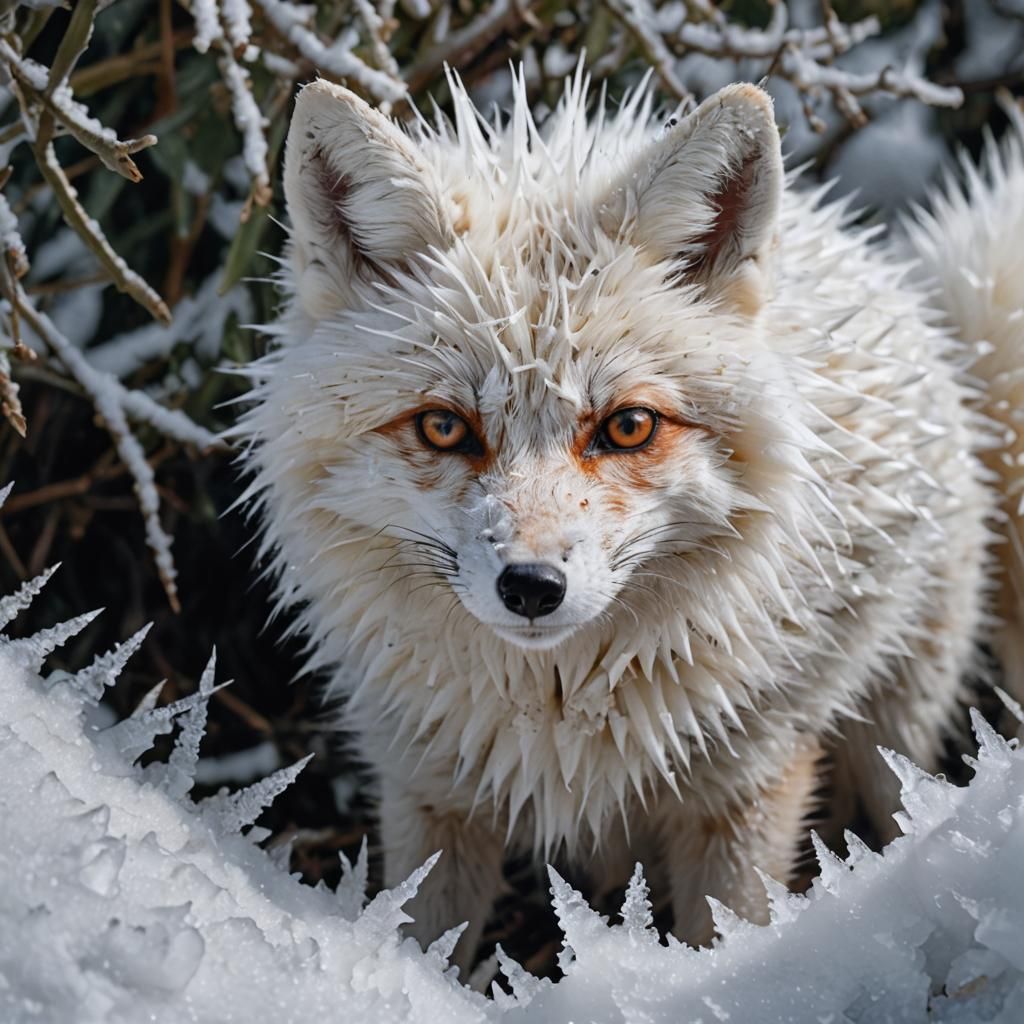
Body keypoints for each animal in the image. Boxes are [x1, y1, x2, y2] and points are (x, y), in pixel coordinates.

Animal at [237, 69, 1024, 972]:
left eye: (628, 427)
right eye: (442, 427)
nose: (532, 587)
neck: (559, 714)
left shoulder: (748, 789)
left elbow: (727, 936)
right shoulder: (428, 792)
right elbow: (423, 940)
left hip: (896, 727)